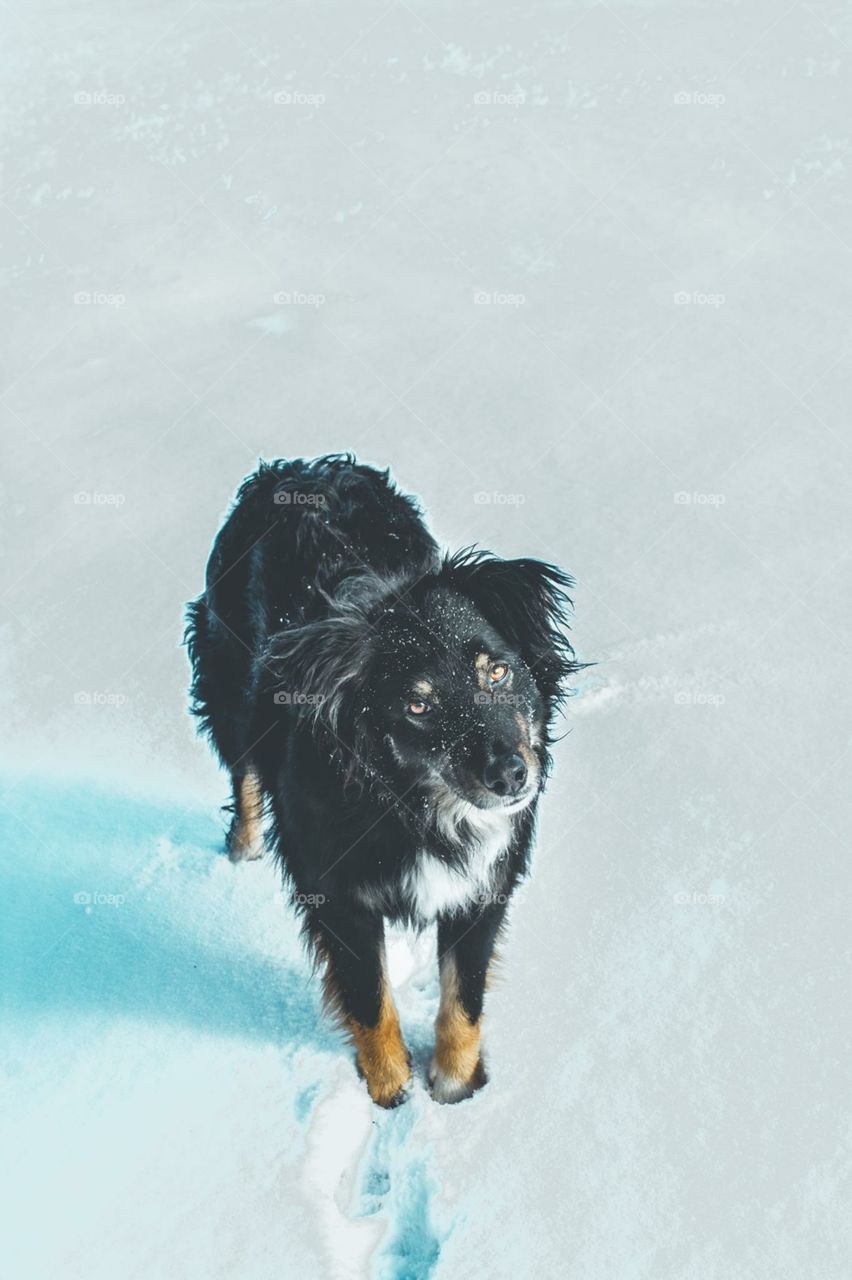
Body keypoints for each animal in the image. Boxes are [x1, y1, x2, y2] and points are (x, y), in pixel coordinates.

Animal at [185, 455, 578, 1105]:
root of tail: (297, 468)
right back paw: (242, 846)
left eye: (497, 672)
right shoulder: (339, 897)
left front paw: (455, 1089)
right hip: (226, 682)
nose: (511, 775)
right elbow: (370, 1000)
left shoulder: (484, 885)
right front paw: (389, 1090)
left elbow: (464, 998)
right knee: (243, 772)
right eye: (418, 706)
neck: (417, 804)